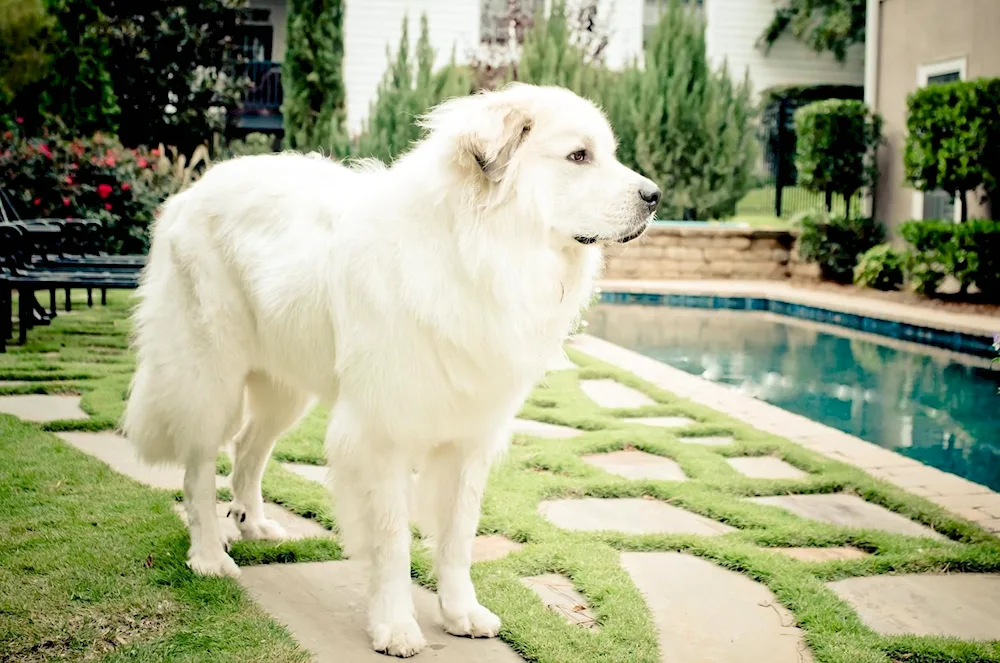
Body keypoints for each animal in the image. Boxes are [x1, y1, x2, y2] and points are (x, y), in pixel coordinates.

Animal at [121, 84, 660, 660]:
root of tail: (192, 189)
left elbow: (458, 536)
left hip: (284, 387)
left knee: (248, 447)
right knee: (200, 466)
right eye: (579, 156)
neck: (476, 254)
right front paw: (395, 625)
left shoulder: (470, 437)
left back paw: (254, 525)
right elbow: (392, 541)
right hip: (210, 375)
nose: (655, 196)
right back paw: (209, 556)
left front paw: (461, 612)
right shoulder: (382, 436)